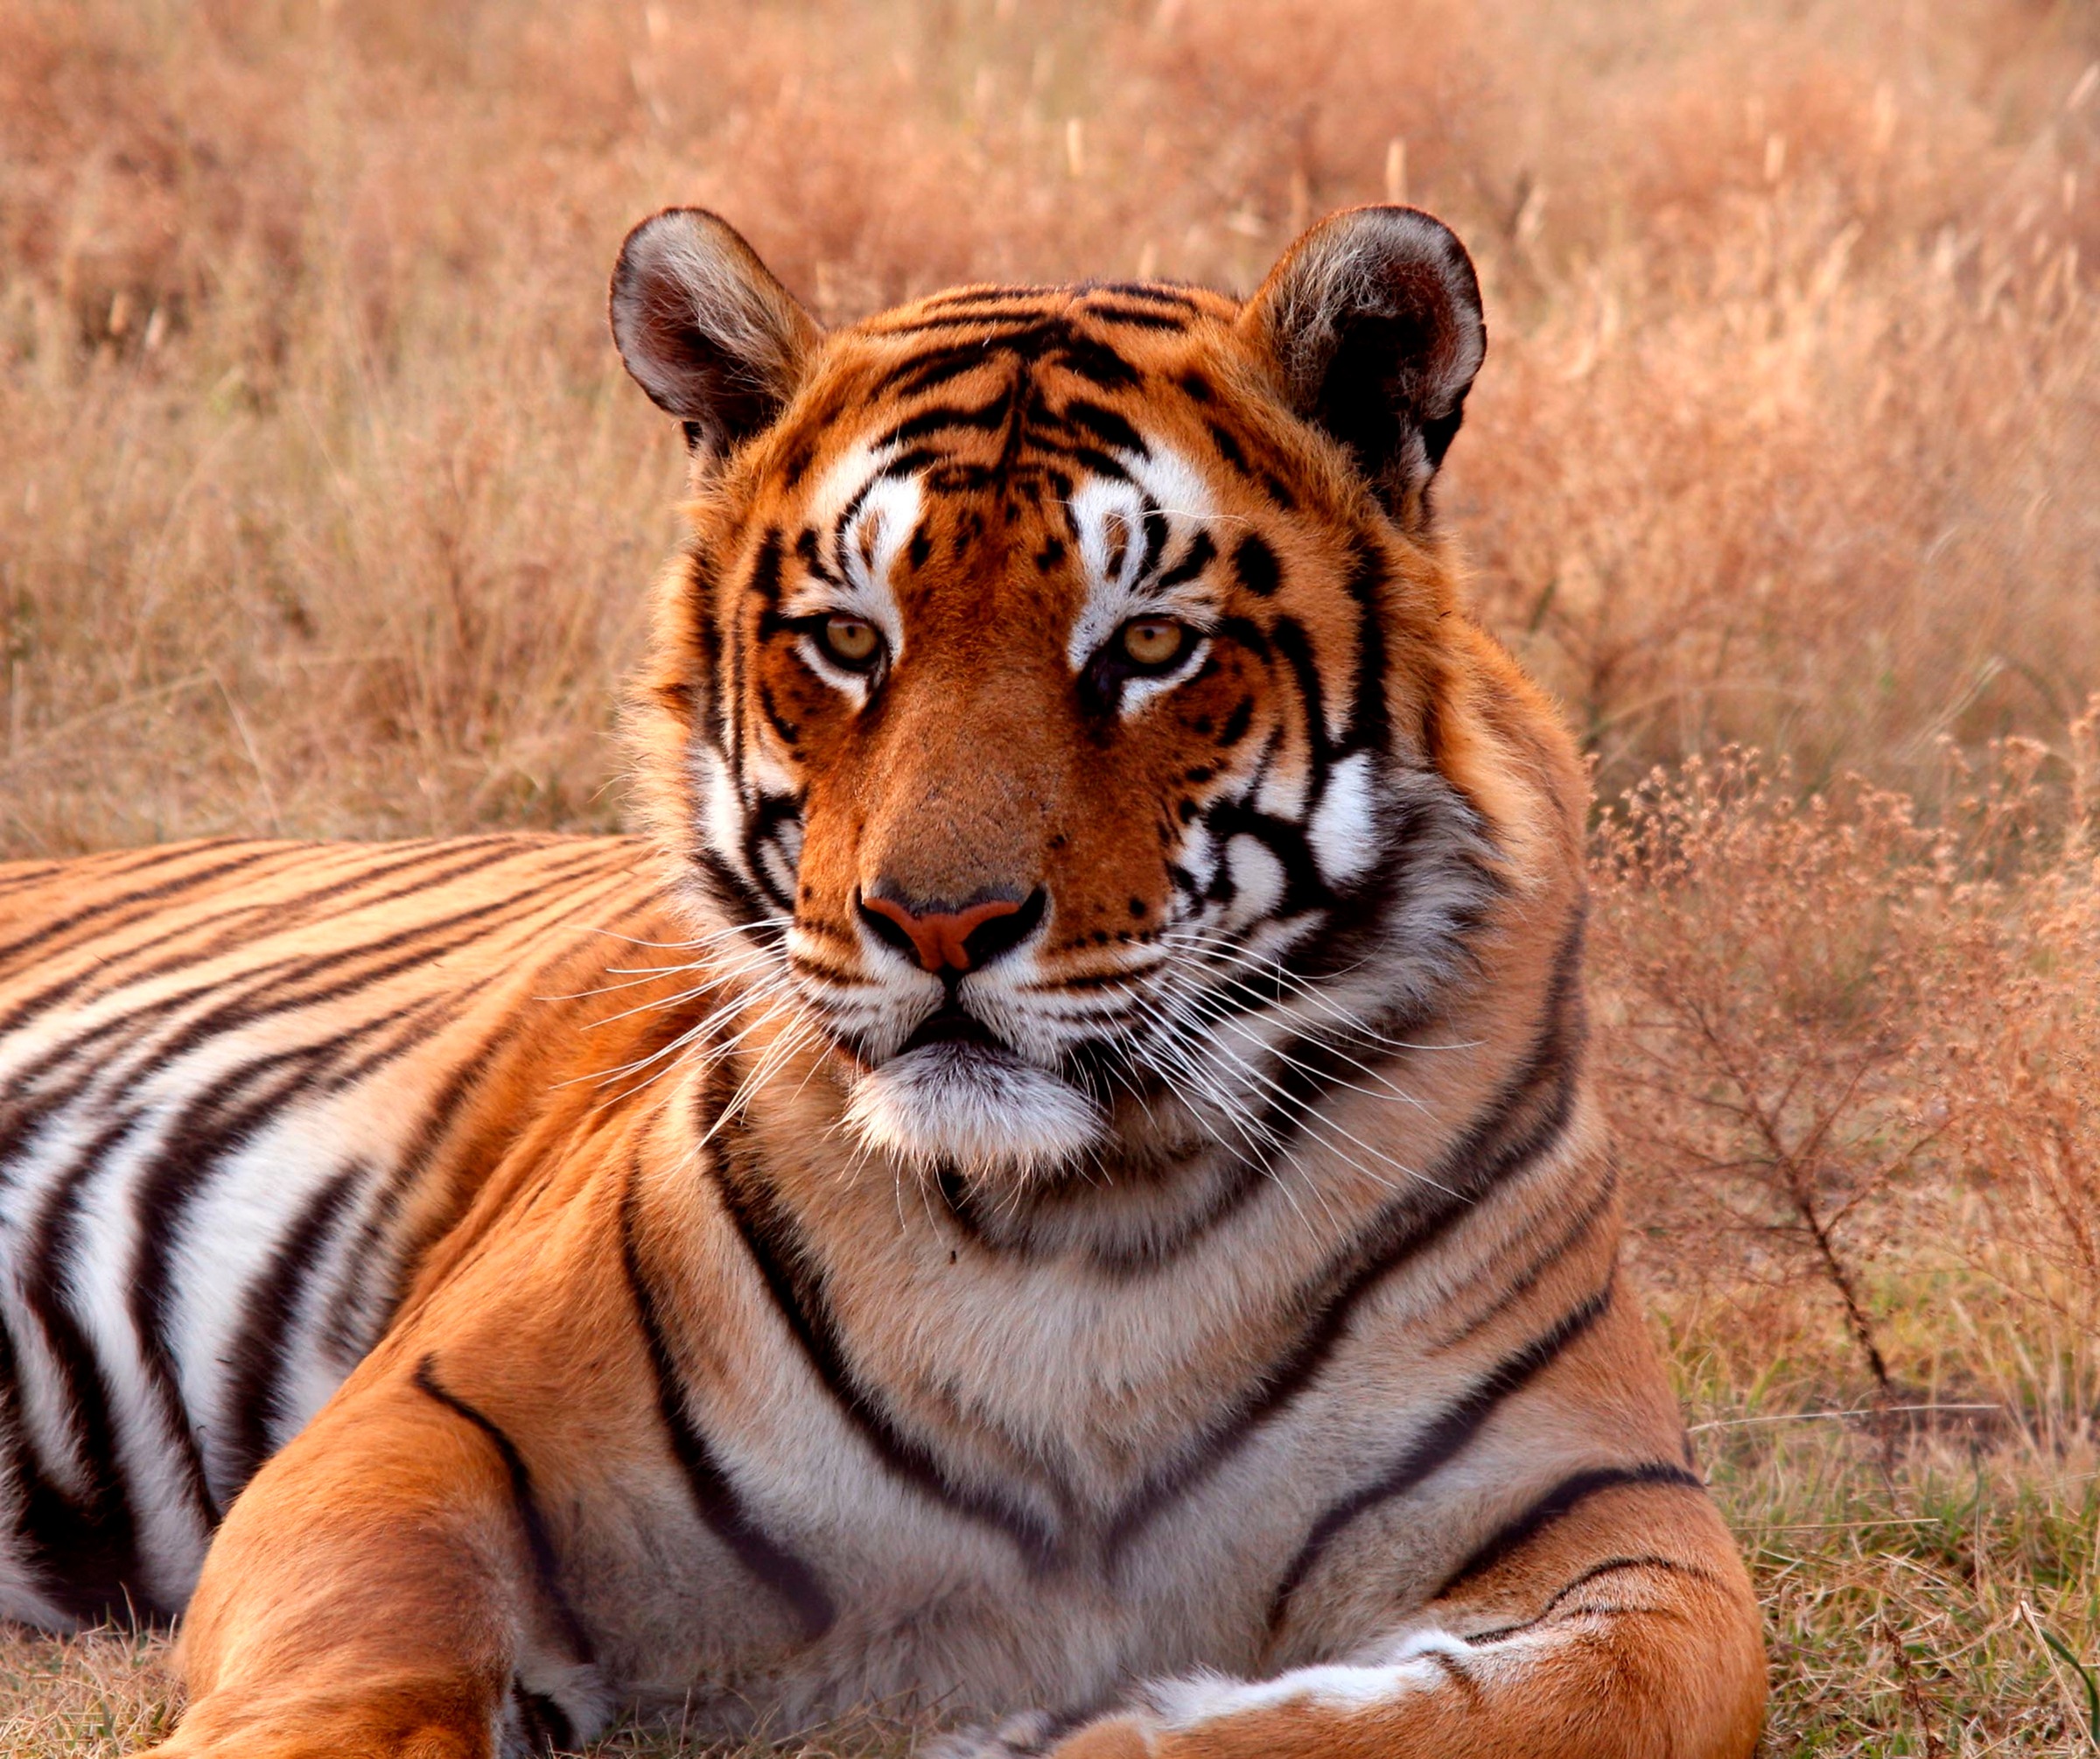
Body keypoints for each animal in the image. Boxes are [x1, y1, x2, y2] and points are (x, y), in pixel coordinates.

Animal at [0, 204, 1766, 1759]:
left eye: (1148, 645)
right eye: (850, 640)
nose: (938, 923)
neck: (1088, 1237)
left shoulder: (1623, 1518)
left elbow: (1555, 1705)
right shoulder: (417, 1427)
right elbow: (364, 1660)